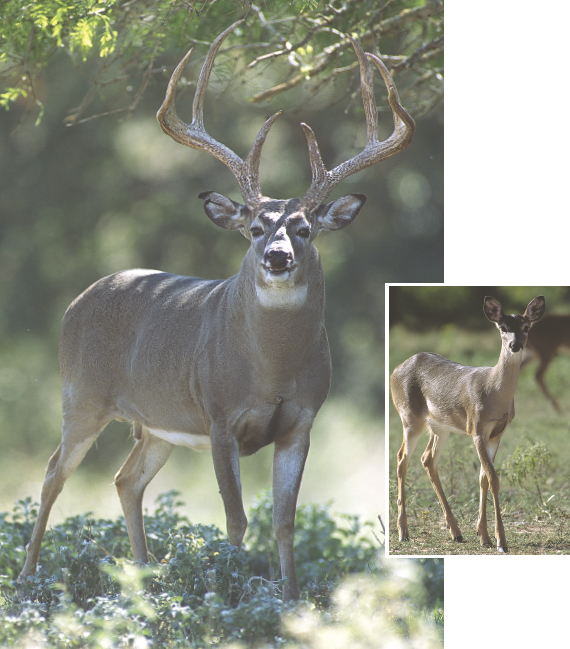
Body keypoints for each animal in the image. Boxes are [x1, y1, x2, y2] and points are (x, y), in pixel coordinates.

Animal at [20, 20, 412, 596]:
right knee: (52, 475)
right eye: (254, 227)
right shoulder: (220, 414)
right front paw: (227, 591)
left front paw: (289, 600)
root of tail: (80, 298)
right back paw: (28, 578)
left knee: (126, 479)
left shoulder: (301, 420)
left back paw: (144, 577)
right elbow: (235, 519)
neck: (272, 369)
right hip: (81, 395)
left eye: (305, 228)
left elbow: (285, 520)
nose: (277, 257)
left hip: (157, 423)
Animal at [388, 294, 544, 552]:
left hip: (440, 426)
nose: (515, 345)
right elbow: (493, 478)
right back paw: (403, 532)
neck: (494, 394)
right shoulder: (477, 428)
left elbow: (483, 478)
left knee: (427, 459)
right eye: (503, 327)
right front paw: (501, 542)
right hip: (410, 416)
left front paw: (484, 536)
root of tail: (396, 369)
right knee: (402, 458)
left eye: (526, 327)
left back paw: (456, 532)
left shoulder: (497, 433)